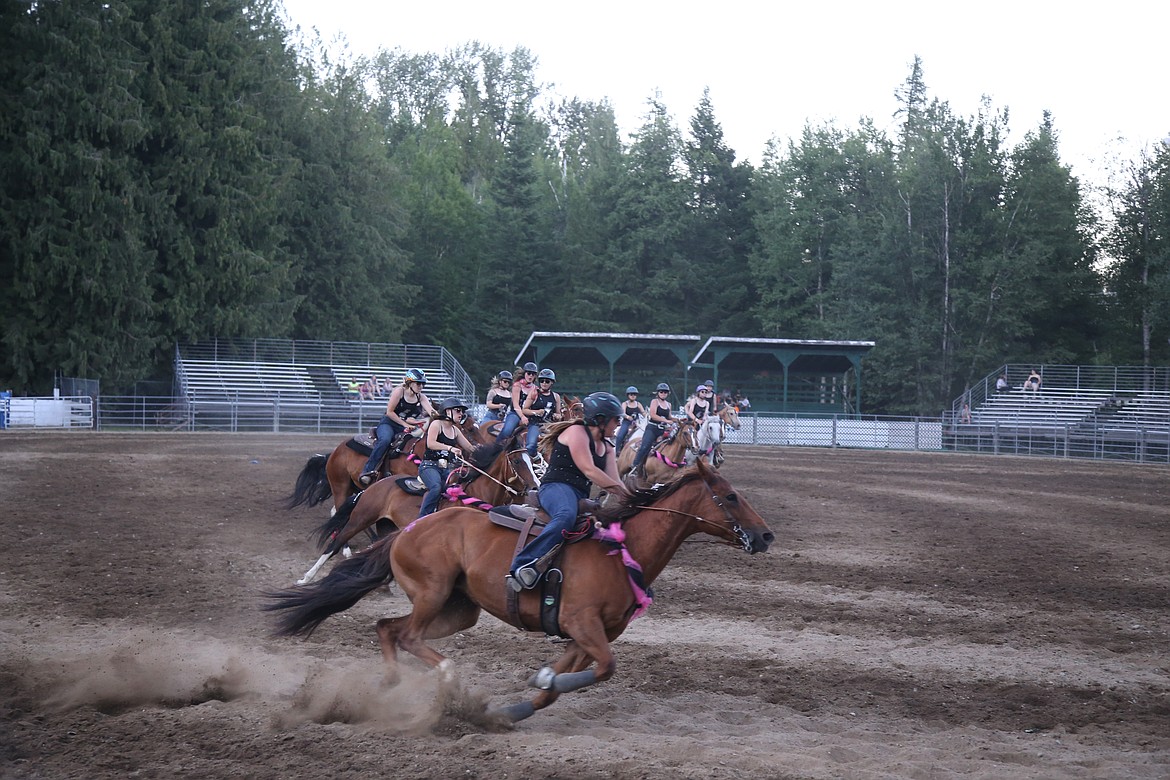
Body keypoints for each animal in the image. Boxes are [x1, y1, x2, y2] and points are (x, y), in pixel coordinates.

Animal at [266, 460, 776, 725]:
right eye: (730, 497)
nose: (766, 535)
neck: (622, 548)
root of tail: (411, 527)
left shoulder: (584, 635)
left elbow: (564, 681)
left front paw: (521, 702)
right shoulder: (582, 624)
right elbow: (606, 668)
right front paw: (536, 689)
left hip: (459, 608)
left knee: (387, 628)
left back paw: (389, 686)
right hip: (432, 592)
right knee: (407, 635)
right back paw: (444, 681)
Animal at [299, 432, 540, 584]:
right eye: (517, 461)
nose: (536, 487)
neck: (473, 493)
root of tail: (375, 485)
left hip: (385, 525)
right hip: (359, 515)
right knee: (335, 543)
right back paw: (306, 577)